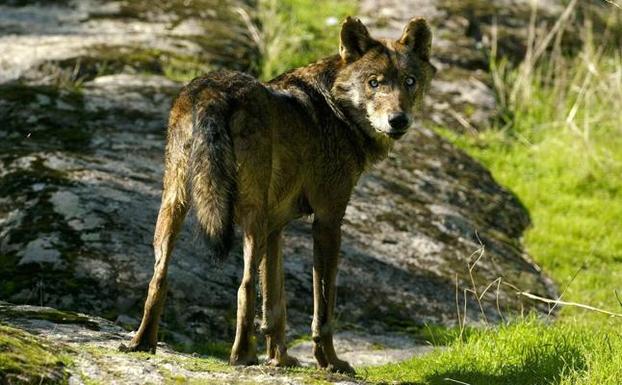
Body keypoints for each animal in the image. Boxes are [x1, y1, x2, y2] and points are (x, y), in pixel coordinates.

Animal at [120, 15, 434, 372]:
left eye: (409, 81)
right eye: (374, 83)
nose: (398, 120)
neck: (335, 109)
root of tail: (213, 89)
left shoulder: (276, 228)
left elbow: (274, 305)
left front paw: (280, 358)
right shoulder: (328, 221)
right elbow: (323, 306)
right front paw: (329, 361)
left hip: (175, 205)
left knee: (159, 277)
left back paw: (142, 343)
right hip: (250, 218)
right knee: (243, 286)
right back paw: (242, 356)